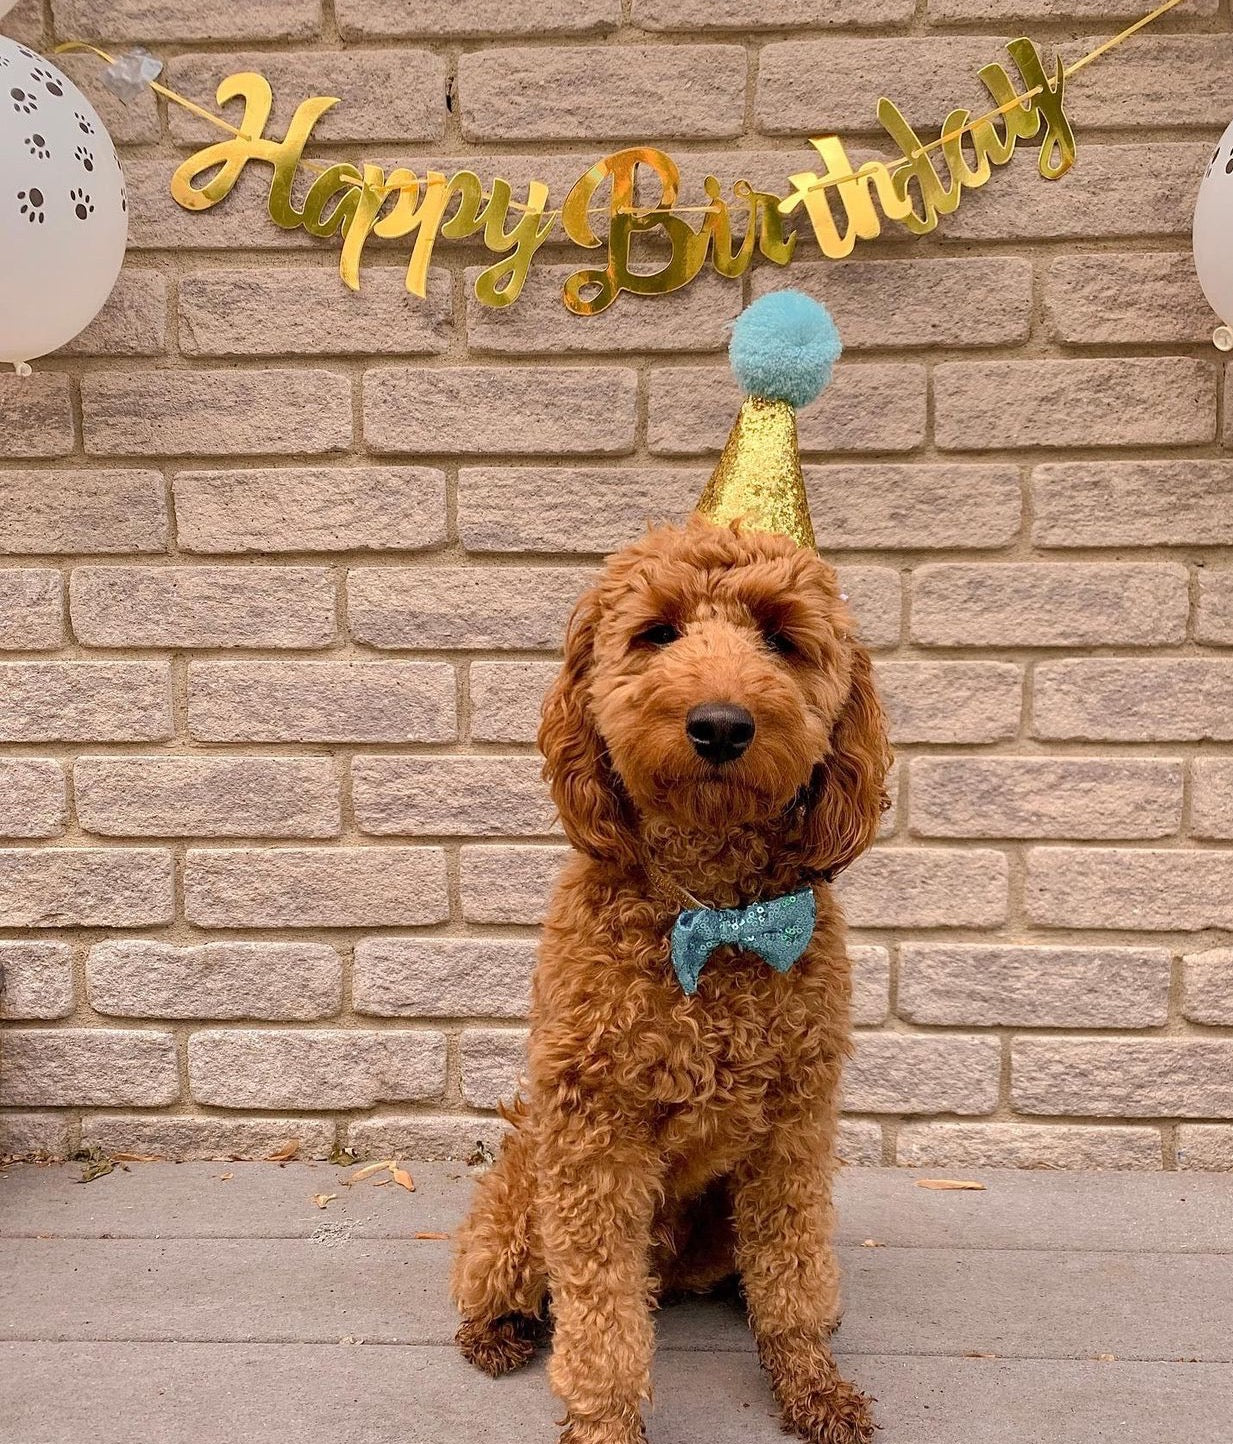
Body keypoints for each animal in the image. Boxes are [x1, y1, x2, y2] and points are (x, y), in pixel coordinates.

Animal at [450, 516, 889, 1444]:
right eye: (656, 633)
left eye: (780, 639)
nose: (719, 725)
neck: (713, 914)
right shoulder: (593, 1140)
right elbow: (600, 1317)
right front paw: (604, 1423)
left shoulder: (796, 1127)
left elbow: (792, 1271)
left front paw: (810, 1383)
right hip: (520, 1200)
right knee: (497, 1279)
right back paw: (498, 1333)